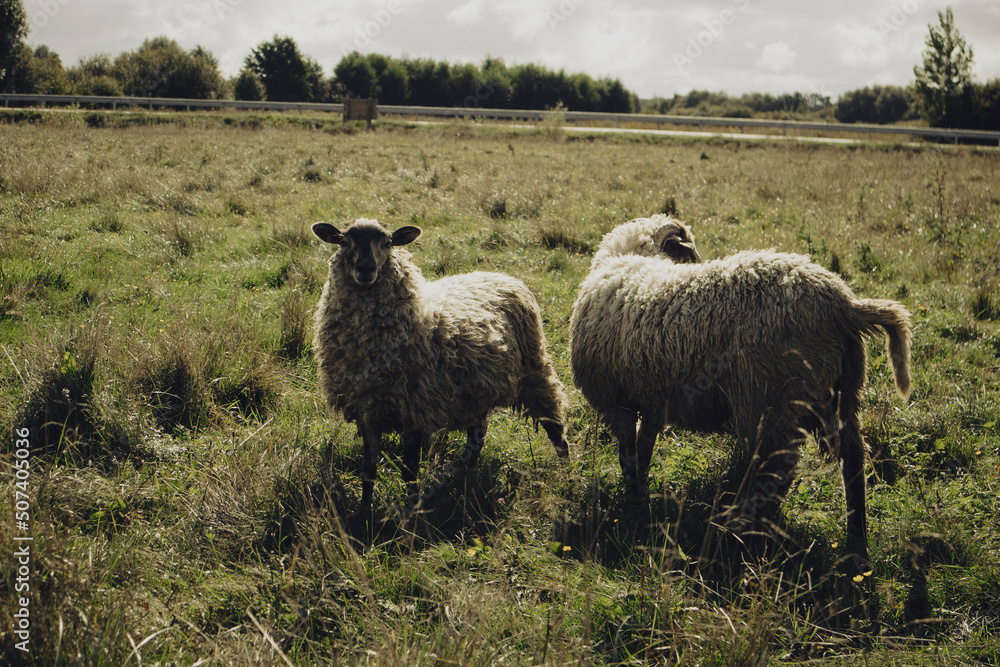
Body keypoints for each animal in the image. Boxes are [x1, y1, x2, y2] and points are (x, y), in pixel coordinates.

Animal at [312, 218, 570, 511]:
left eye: (388, 243)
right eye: (344, 242)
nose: (365, 268)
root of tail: (501, 275)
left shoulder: (415, 409)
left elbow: (409, 470)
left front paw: (411, 512)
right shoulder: (366, 411)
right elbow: (368, 471)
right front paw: (364, 513)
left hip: (535, 369)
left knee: (555, 427)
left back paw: (567, 477)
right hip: (474, 391)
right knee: (477, 435)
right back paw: (465, 471)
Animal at [569, 214, 912, 554]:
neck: (629, 259)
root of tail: (844, 305)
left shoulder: (616, 402)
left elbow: (628, 453)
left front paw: (631, 497)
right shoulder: (654, 400)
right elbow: (644, 446)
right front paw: (639, 493)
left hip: (769, 399)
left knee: (777, 469)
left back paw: (739, 525)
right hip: (844, 389)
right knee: (852, 456)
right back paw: (856, 538)